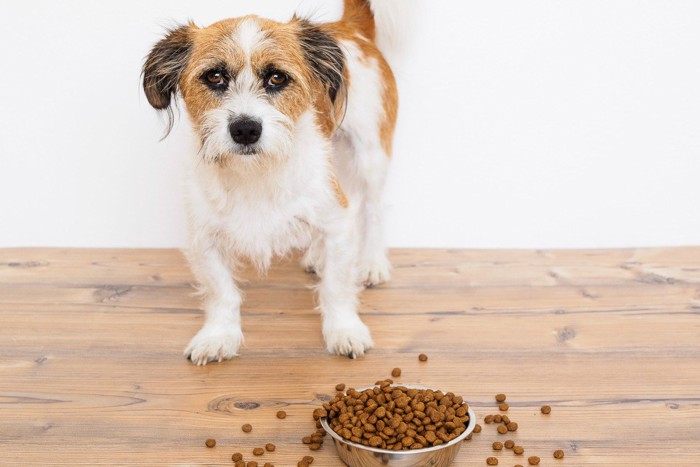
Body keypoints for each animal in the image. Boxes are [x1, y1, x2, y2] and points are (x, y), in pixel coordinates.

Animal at [141, 0, 400, 366]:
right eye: (214, 77)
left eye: (277, 77)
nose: (245, 128)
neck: (256, 172)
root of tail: (348, 27)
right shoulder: (204, 237)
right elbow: (221, 290)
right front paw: (218, 336)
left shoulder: (336, 222)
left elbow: (336, 286)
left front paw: (344, 330)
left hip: (370, 155)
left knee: (373, 208)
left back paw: (373, 263)